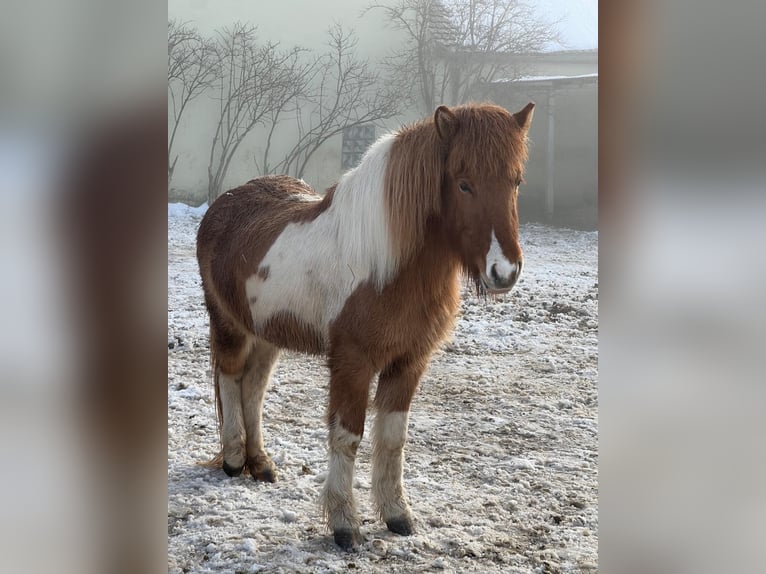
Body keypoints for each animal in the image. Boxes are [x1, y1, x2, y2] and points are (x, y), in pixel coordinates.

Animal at [196, 102, 535, 550]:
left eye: (516, 181)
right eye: (464, 184)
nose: (504, 272)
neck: (388, 265)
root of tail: (223, 204)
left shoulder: (409, 363)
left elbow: (392, 439)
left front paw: (397, 515)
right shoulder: (352, 363)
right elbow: (348, 436)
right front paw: (344, 524)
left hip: (266, 333)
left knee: (253, 387)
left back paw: (261, 463)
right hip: (230, 326)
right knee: (230, 379)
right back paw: (235, 459)